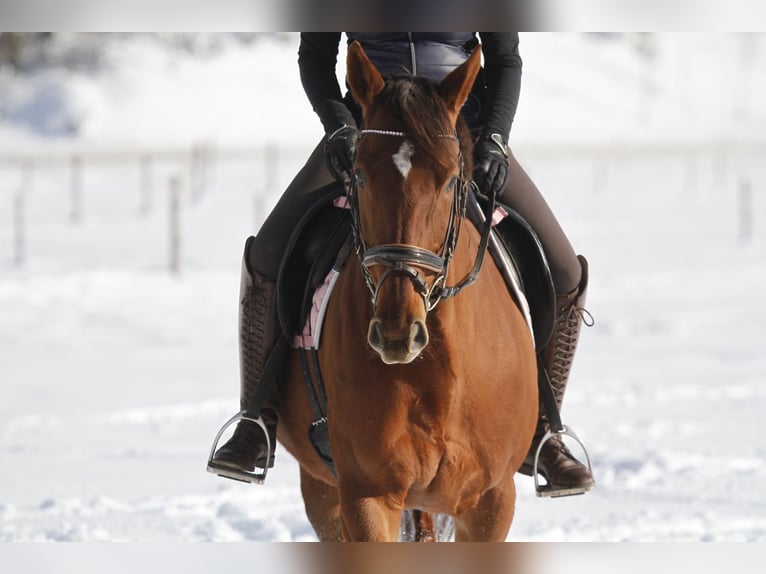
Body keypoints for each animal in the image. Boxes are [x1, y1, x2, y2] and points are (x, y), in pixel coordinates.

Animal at [278, 42, 540, 544]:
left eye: (451, 179)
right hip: (321, 489)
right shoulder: (365, 495)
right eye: (358, 175)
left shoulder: (492, 502)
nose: (398, 331)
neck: (438, 376)